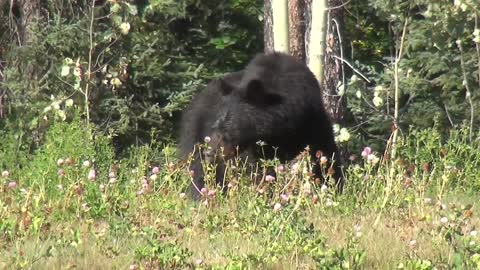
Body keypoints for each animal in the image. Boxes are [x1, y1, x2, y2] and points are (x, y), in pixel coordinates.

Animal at [178, 51, 344, 198]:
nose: (209, 153)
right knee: (200, 170)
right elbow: (260, 169)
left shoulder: (312, 119)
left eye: (230, 127)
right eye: (217, 125)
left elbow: (325, 152)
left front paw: (334, 188)